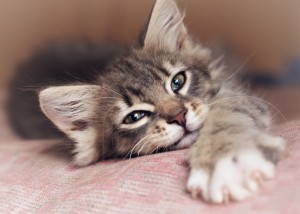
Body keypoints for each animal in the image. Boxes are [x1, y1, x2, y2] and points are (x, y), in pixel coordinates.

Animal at [6, 0, 286, 204]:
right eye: (134, 117)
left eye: (178, 81)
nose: (179, 116)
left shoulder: (231, 91)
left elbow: (225, 114)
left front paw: (226, 157)